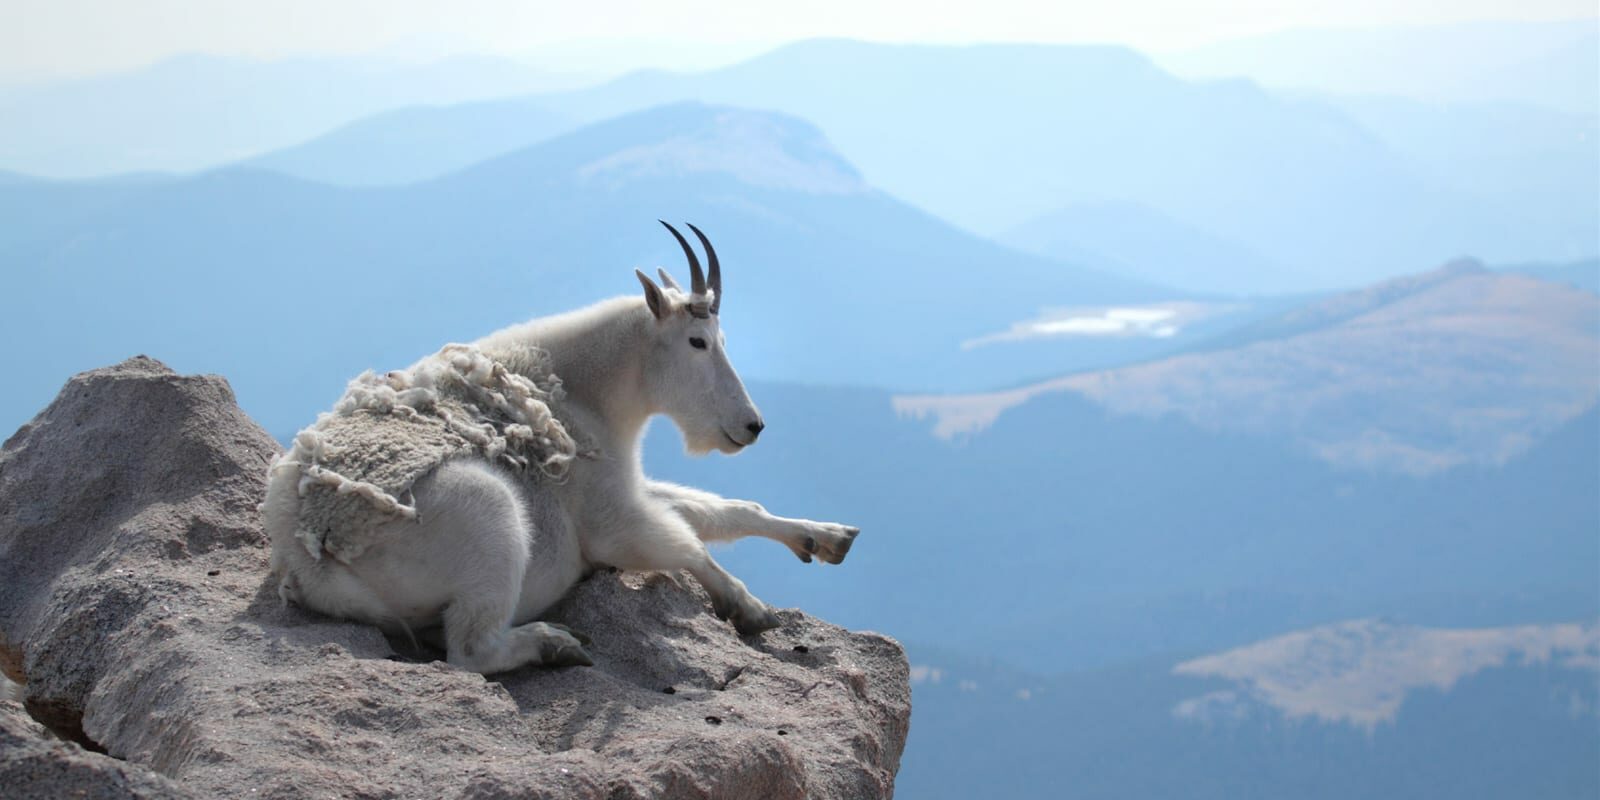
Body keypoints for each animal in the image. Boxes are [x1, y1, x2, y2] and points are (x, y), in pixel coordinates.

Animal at [264, 222, 864, 672]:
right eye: (698, 341)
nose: (752, 426)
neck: (587, 388)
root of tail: (306, 557)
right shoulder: (608, 520)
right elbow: (685, 543)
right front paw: (749, 608)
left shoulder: (625, 485)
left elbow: (723, 511)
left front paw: (826, 538)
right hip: (490, 514)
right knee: (470, 650)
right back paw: (553, 643)